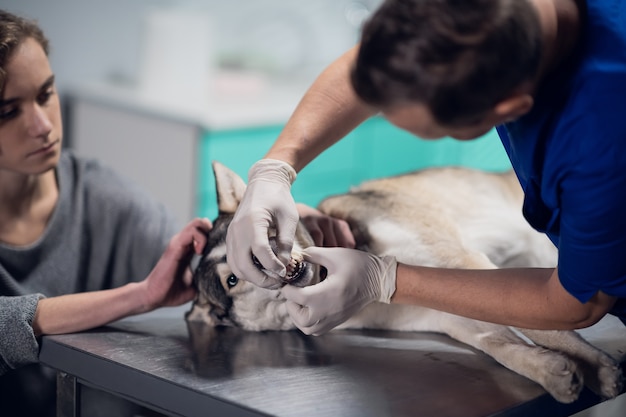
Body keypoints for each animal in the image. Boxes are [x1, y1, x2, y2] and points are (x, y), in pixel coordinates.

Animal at [184, 160, 620, 404]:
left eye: (264, 231)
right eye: (232, 280)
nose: (267, 260)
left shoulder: (466, 261)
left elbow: (547, 328)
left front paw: (600, 368)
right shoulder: (450, 317)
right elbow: (500, 345)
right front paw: (554, 372)